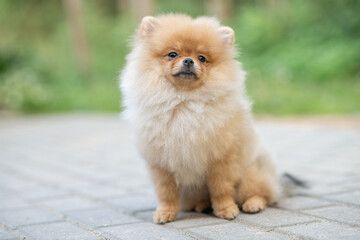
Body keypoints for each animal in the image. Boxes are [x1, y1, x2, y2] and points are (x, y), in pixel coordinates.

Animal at [121, 14, 282, 223]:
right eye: (172, 54)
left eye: (202, 58)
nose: (189, 61)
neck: (183, 102)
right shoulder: (160, 163)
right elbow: (166, 192)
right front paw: (165, 213)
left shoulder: (220, 158)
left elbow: (221, 188)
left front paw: (226, 209)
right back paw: (202, 205)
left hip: (249, 174)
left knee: (262, 193)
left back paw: (253, 204)